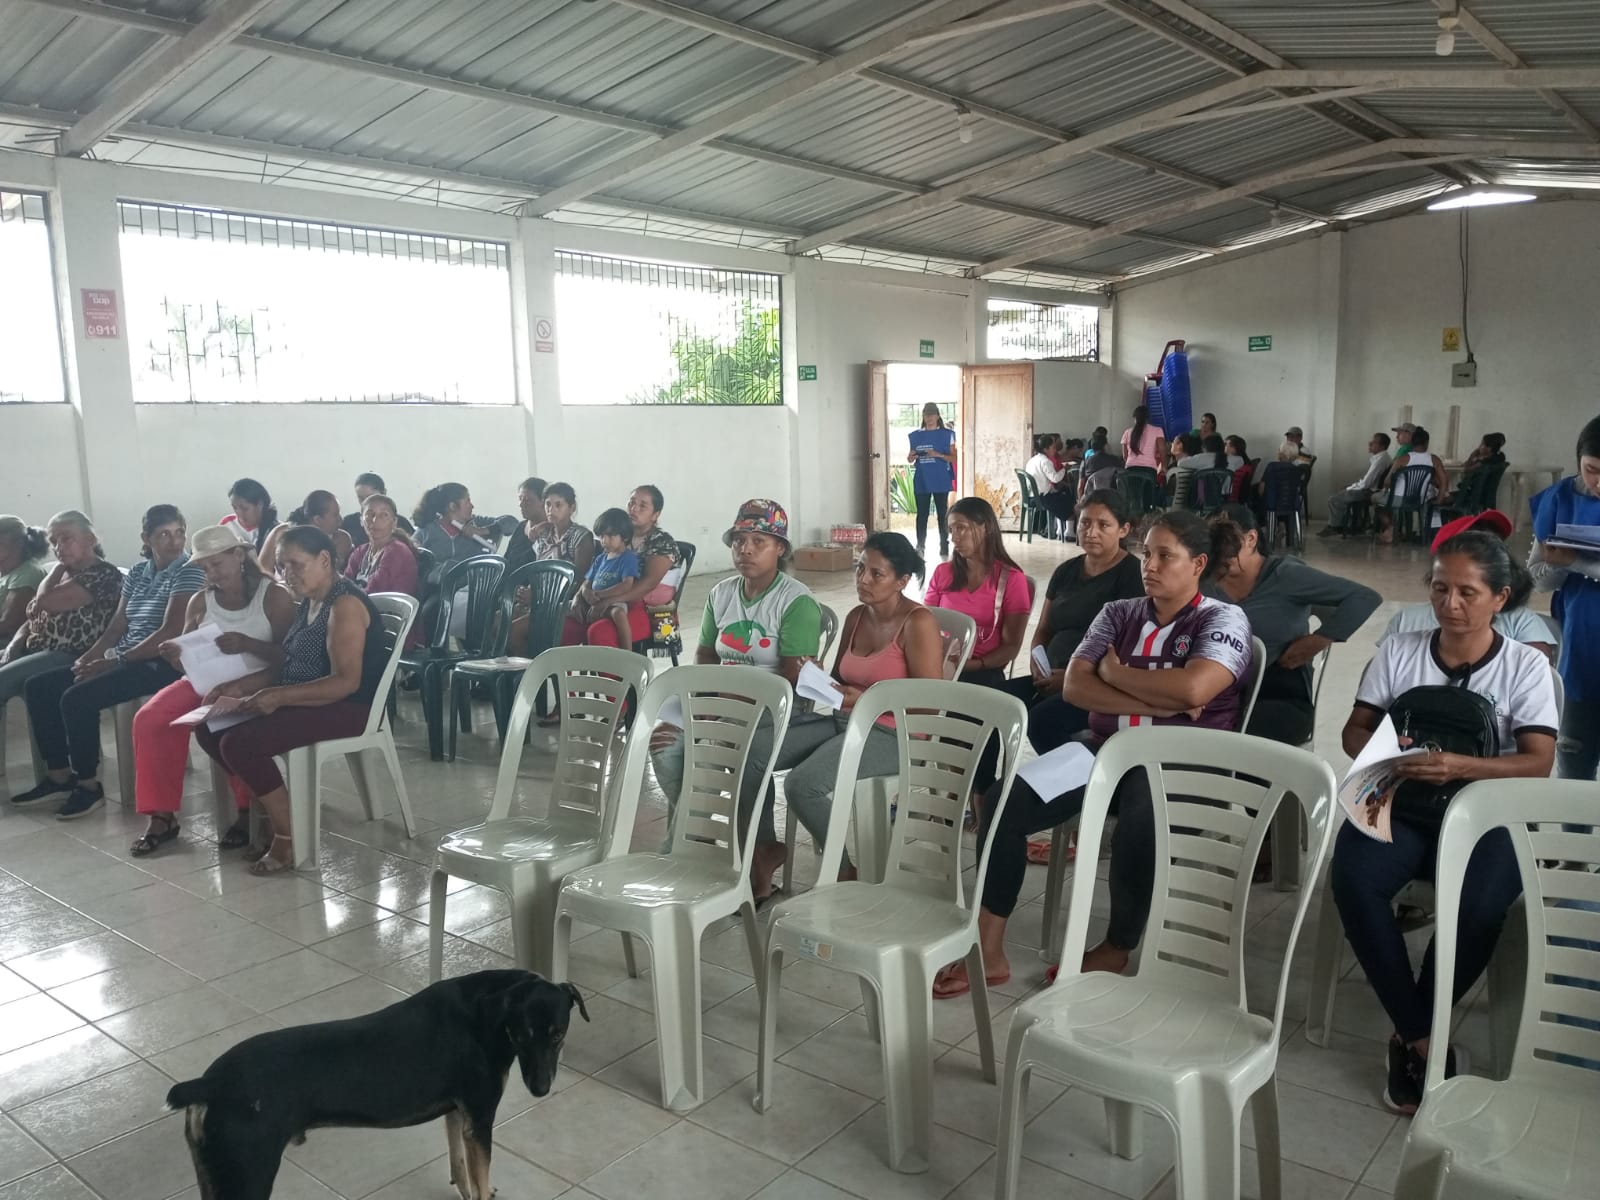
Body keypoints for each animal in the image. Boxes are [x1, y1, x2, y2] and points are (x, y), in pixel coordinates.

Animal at [166, 969, 588, 1200]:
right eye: (521, 1035)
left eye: (558, 1035)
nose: (541, 1089)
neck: (488, 1009)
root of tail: (208, 1083)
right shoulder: (481, 1119)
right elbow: (480, 1174)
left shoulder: (459, 1114)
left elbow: (461, 1162)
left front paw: (464, 1186)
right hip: (247, 1175)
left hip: (215, 1173)